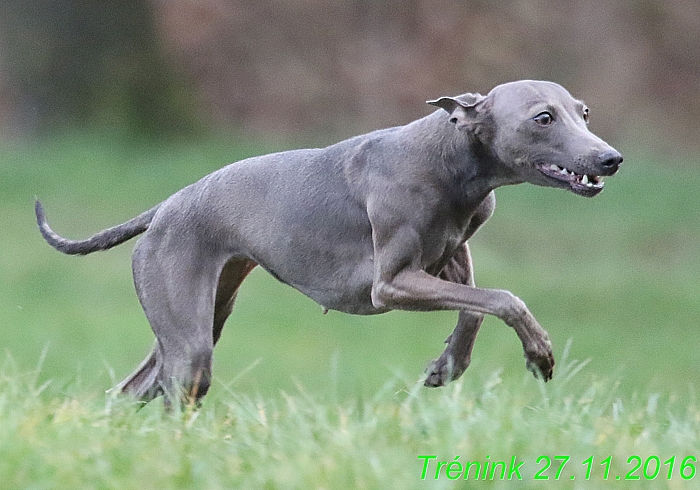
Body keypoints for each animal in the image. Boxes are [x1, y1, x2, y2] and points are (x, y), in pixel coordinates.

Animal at [35, 79, 620, 402]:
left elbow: (477, 305)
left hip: (203, 315)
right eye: (543, 117)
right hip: (189, 333)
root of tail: (165, 207)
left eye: (584, 112)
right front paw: (540, 353)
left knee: (133, 389)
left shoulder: (450, 256)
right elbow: (503, 298)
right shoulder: (393, 284)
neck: (452, 157)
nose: (610, 158)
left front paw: (448, 364)